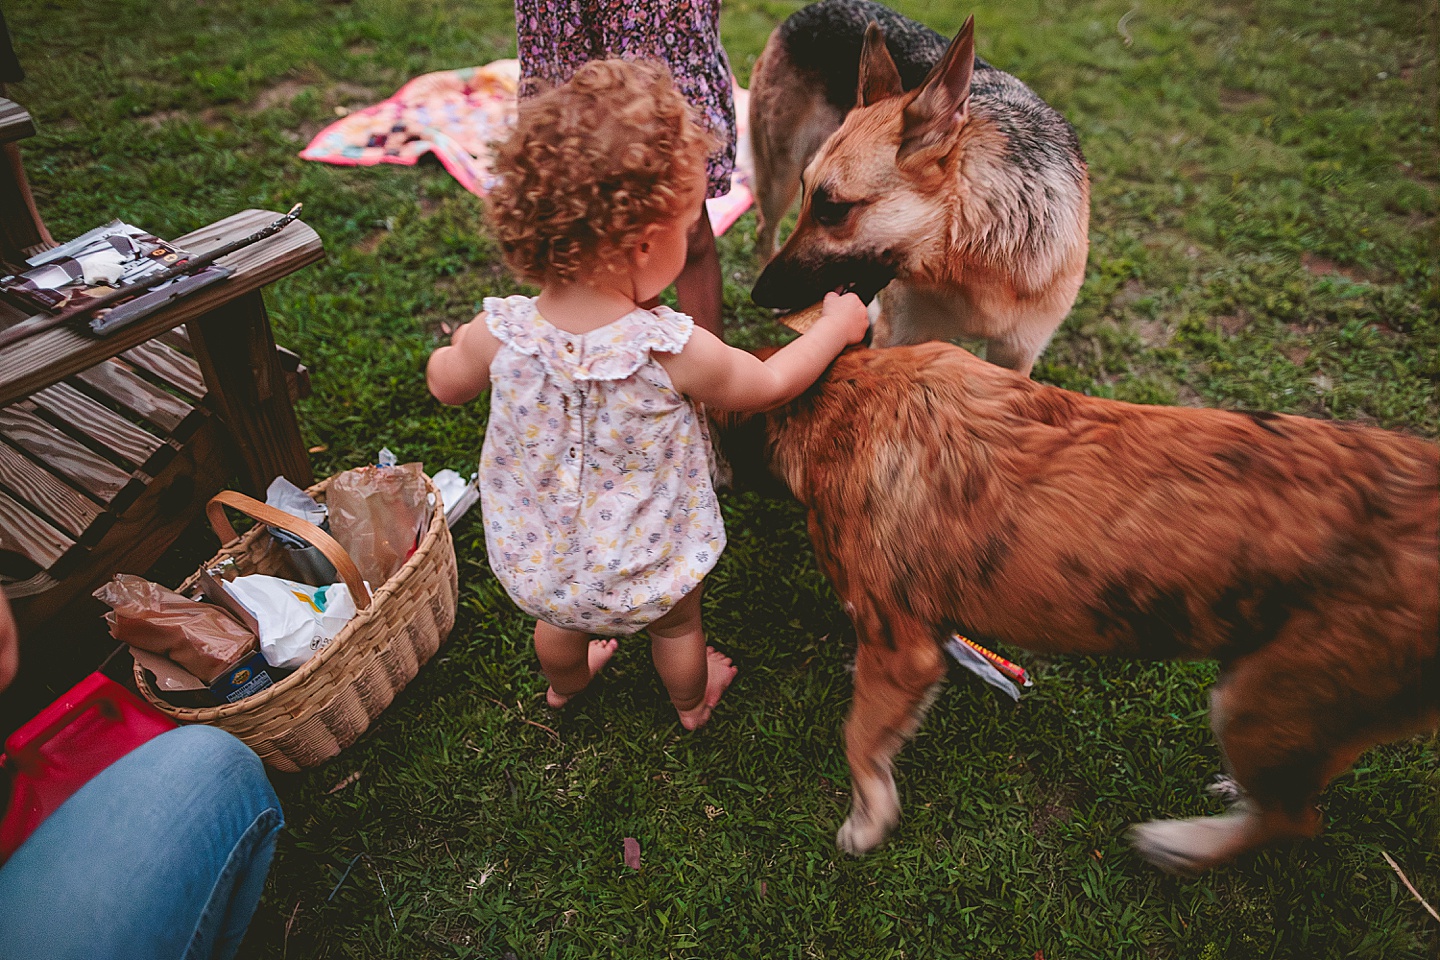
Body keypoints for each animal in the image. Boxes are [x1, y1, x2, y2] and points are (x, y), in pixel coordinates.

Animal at [714, 339, 1434, 880]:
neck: (843, 396)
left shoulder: (902, 647)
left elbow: (859, 737)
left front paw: (868, 820)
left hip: (1262, 702)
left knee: (1296, 819)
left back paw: (1185, 844)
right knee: (1288, 799)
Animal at [748, 1, 1082, 374]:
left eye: (832, 209)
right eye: (809, 193)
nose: (758, 295)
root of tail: (814, 7)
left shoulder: (1016, 354)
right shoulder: (898, 335)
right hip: (779, 180)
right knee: (764, 230)